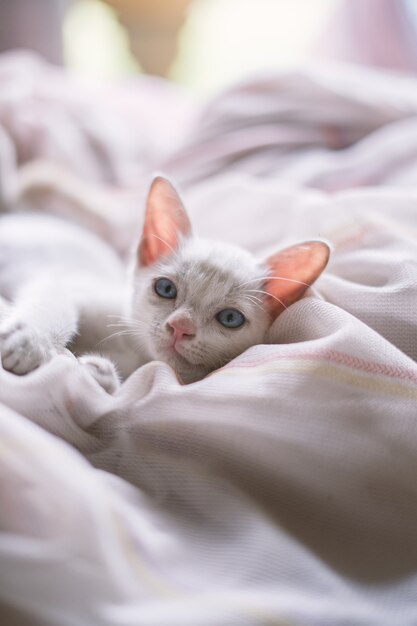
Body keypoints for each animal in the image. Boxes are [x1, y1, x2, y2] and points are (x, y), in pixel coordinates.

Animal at [0, 176, 330, 388]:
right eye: (166, 289)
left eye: (230, 318)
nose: (180, 327)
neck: (136, 352)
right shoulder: (72, 286)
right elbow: (55, 302)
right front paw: (29, 342)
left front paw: (100, 375)